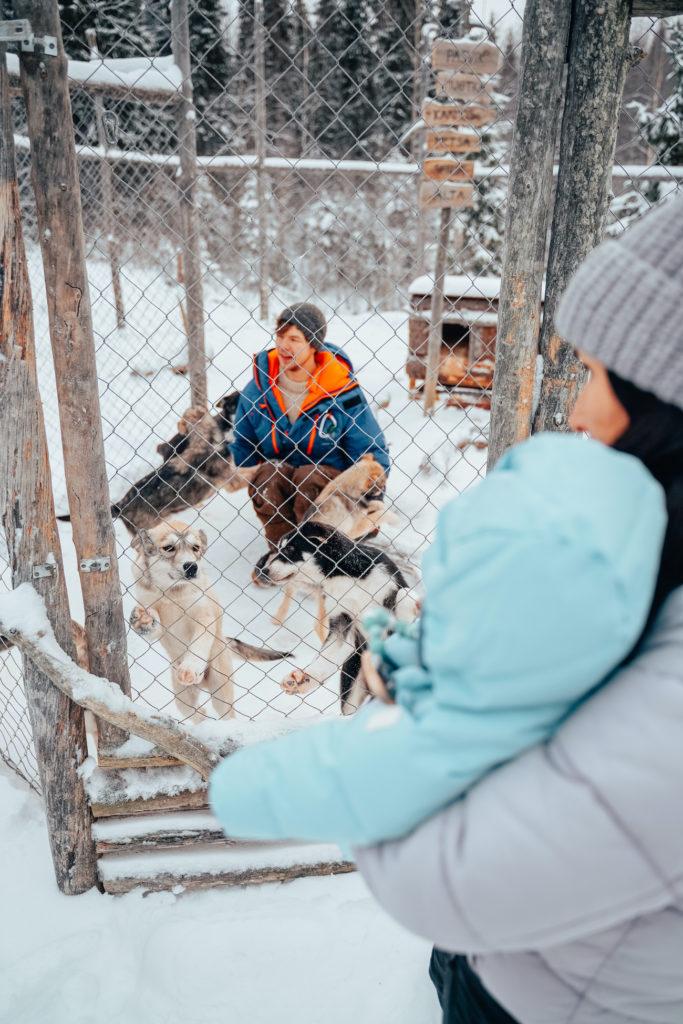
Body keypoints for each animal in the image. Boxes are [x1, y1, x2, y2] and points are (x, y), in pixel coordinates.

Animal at [129, 520, 290, 720]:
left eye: (195, 548)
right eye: (169, 548)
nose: (192, 567)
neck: (172, 592)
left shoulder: (204, 617)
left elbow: (199, 643)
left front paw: (191, 667)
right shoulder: (153, 610)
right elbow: (153, 624)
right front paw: (143, 621)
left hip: (220, 688)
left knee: (227, 713)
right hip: (182, 697)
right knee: (197, 713)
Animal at [254, 520, 419, 712]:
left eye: (289, 550)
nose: (263, 571)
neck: (344, 576)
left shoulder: (390, 589)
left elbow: (405, 597)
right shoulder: (342, 620)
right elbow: (326, 656)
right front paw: (304, 680)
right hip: (352, 687)